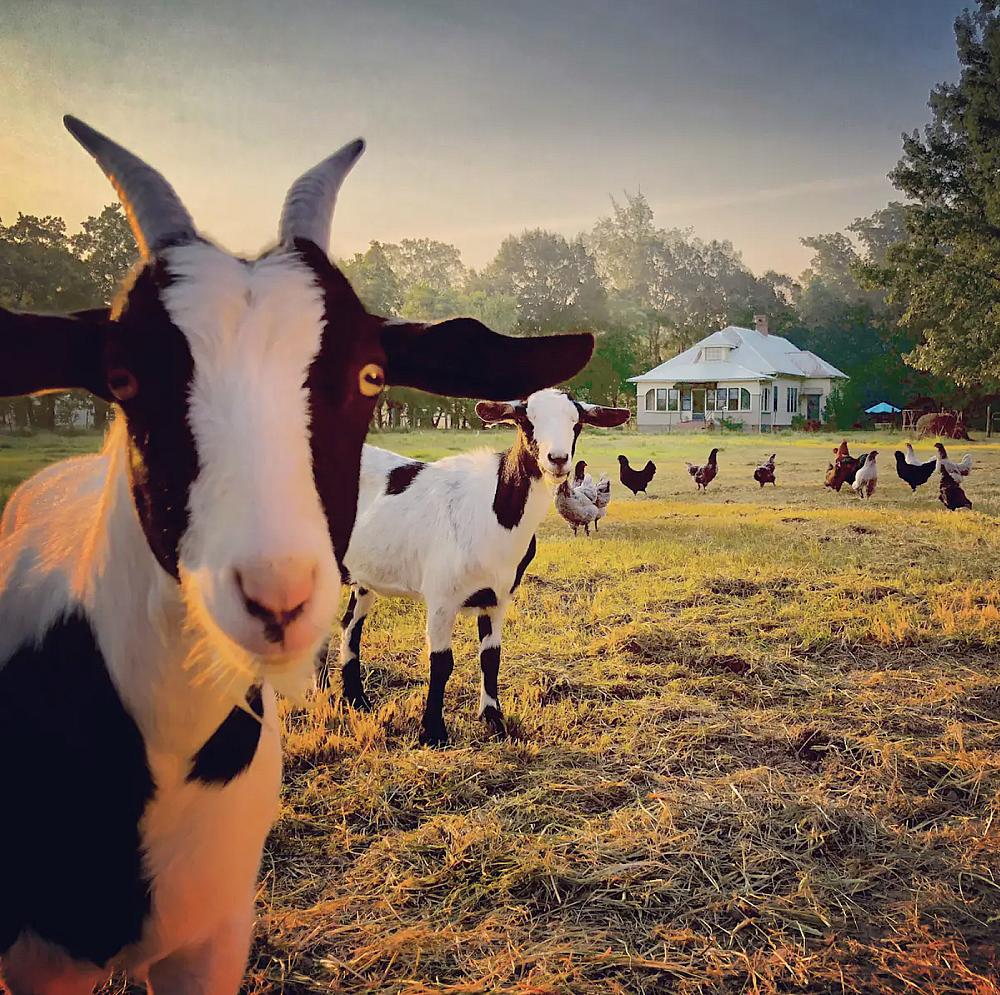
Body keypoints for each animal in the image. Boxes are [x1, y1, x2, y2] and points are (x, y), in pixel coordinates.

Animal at [317, 389, 629, 746]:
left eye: (576, 424)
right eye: (526, 421)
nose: (558, 459)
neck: (494, 512)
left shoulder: (497, 596)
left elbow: (491, 657)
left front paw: (494, 719)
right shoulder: (441, 596)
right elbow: (442, 663)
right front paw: (433, 732)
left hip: (364, 574)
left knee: (349, 625)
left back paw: (355, 699)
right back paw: (318, 693)